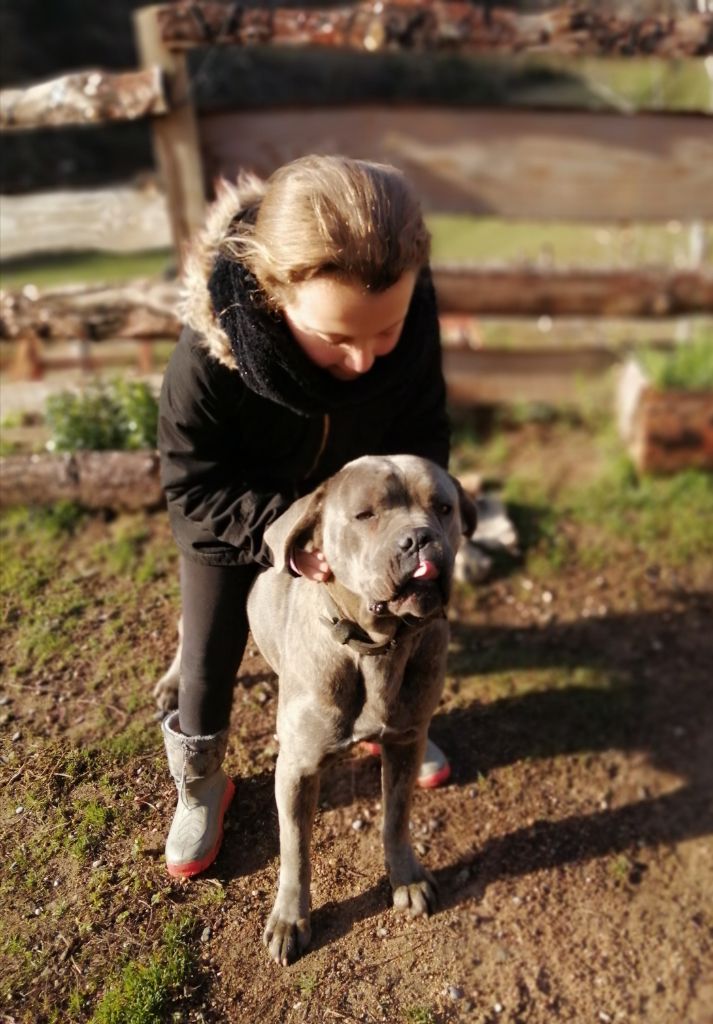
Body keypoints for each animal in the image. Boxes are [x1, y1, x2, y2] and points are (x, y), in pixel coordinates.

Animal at [156, 454, 476, 964]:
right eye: (365, 514)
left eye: (443, 507)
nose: (420, 538)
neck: (376, 648)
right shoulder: (297, 769)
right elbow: (296, 850)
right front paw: (291, 919)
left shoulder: (405, 743)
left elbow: (395, 819)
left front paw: (406, 878)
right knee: (194, 639)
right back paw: (171, 684)